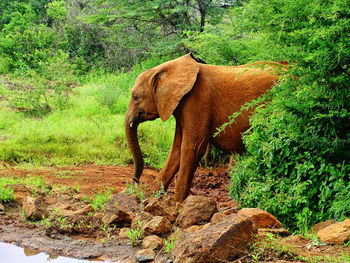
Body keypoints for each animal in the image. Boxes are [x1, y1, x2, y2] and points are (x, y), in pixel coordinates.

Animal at [124, 53, 286, 202]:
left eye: (136, 97)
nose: (135, 181)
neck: (167, 68)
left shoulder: (198, 100)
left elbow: (191, 148)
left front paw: (177, 205)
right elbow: (176, 150)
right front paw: (149, 199)